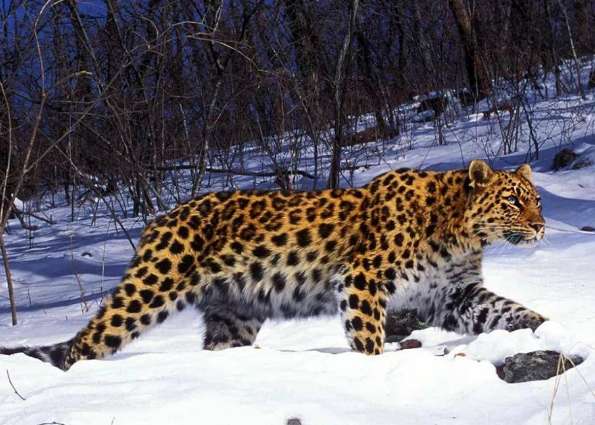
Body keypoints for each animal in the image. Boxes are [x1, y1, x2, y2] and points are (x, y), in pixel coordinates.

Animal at [0, 159, 548, 368]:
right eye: (513, 202)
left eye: (537, 200)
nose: (543, 225)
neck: (461, 234)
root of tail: (159, 219)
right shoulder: (363, 278)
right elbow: (368, 339)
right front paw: (372, 371)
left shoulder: (454, 294)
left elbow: (506, 310)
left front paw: (547, 329)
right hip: (149, 291)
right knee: (87, 343)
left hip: (234, 315)